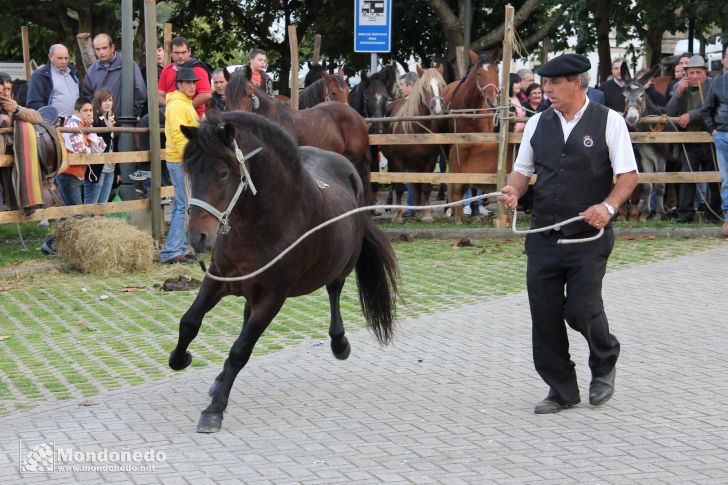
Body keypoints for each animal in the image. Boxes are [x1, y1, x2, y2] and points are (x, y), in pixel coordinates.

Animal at [169, 112, 398, 432]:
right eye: (189, 171)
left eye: (224, 173)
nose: (198, 237)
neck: (261, 225)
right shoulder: (218, 280)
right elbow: (189, 323)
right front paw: (180, 359)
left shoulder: (273, 296)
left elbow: (240, 350)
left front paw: (214, 409)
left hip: (341, 264)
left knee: (334, 290)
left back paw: (339, 343)